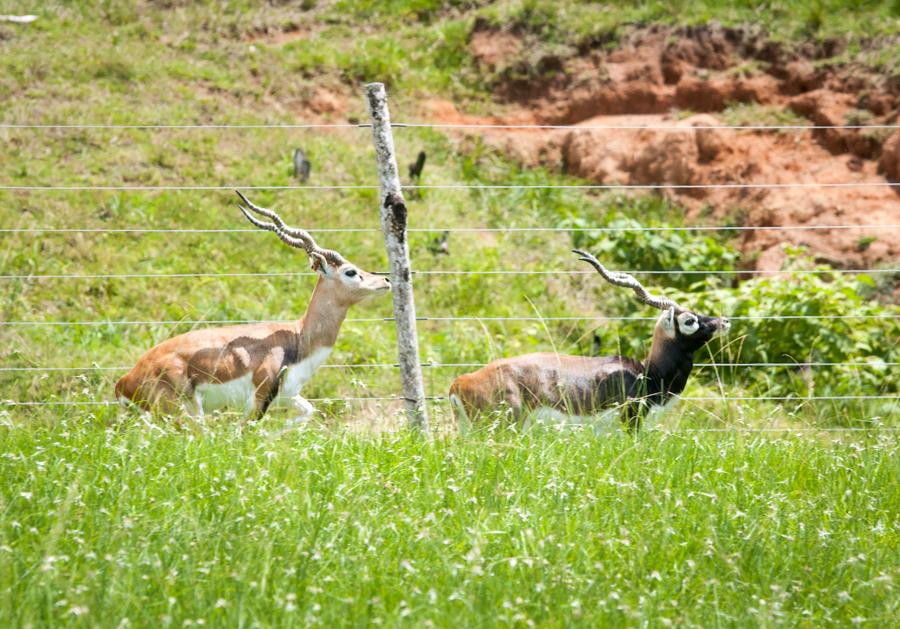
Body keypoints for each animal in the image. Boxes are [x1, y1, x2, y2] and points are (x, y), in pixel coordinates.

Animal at [116, 191, 390, 424]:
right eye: (350, 272)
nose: (385, 281)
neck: (297, 338)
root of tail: (126, 380)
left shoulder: (289, 395)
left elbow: (308, 412)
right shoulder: (258, 399)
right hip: (188, 413)